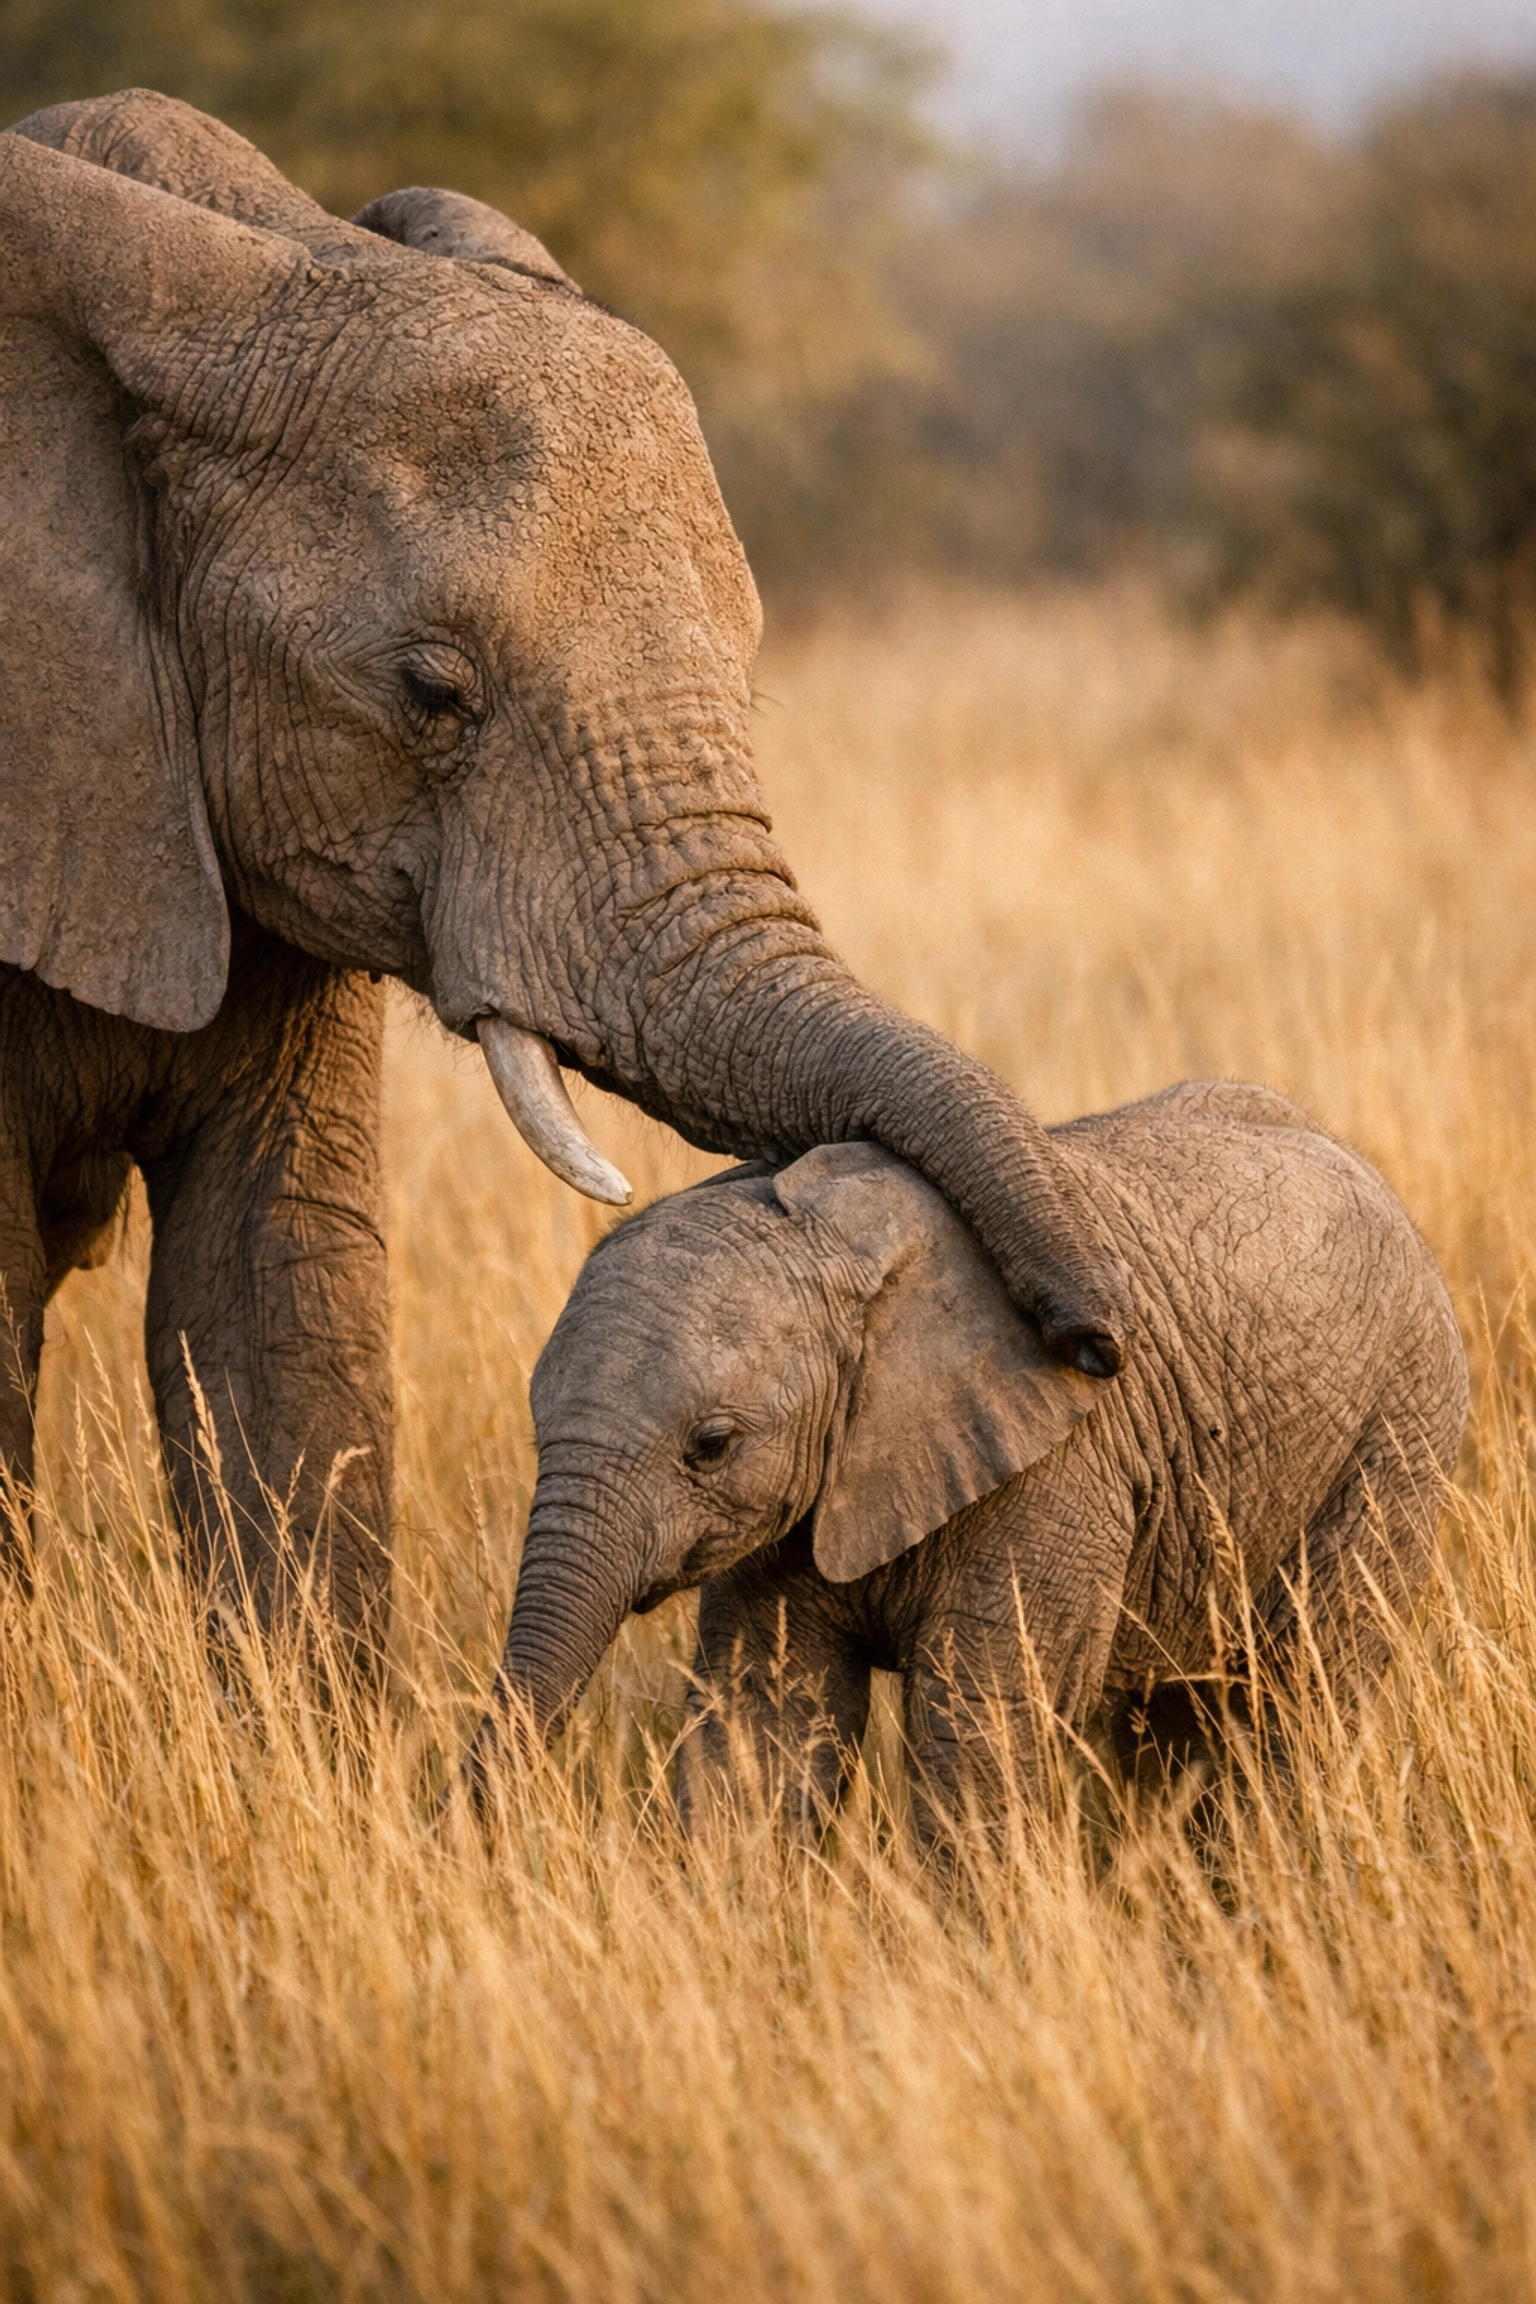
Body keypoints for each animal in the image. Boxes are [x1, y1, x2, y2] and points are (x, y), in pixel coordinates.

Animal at [476, 1080, 1468, 1844]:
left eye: (710, 1446)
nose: (464, 1833)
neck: (841, 1250)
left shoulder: (1057, 1470)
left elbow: (979, 1729)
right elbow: (763, 1724)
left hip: (1398, 1432)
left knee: (1297, 1697)